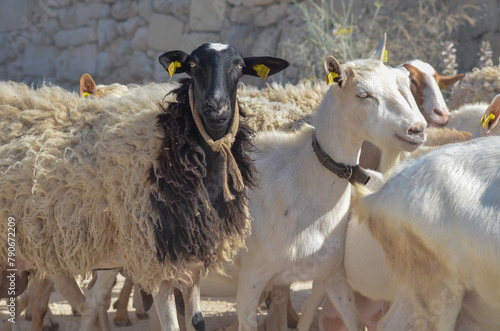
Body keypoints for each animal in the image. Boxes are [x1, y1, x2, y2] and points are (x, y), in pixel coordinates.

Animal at [0, 42, 290, 331]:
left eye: (239, 66)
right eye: (193, 65)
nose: (216, 108)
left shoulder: (193, 261)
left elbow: (196, 322)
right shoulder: (155, 261)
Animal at [234, 34, 426, 331]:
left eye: (400, 84)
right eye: (363, 94)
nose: (417, 128)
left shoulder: (332, 275)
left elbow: (354, 321)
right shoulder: (250, 278)